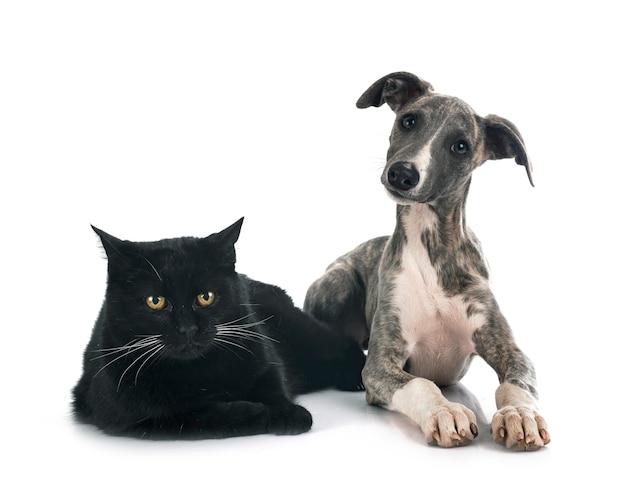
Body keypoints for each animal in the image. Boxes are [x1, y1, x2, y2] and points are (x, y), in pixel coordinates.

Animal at [72, 219, 366, 440]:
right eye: (155, 301)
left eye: (206, 297)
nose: (188, 329)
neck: (197, 370)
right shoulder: (135, 417)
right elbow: (202, 417)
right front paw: (259, 412)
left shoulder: (263, 351)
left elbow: (273, 383)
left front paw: (288, 413)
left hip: (305, 338)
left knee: (342, 343)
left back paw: (355, 378)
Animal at [304, 71, 548, 450]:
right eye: (409, 121)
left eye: (461, 146)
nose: (402, 174)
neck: (430, 247)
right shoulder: (382, 363)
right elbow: (420, 382)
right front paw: (445, 411)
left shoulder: (509, 348)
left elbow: (516, 383)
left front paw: (520, 415)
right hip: (337, 282)